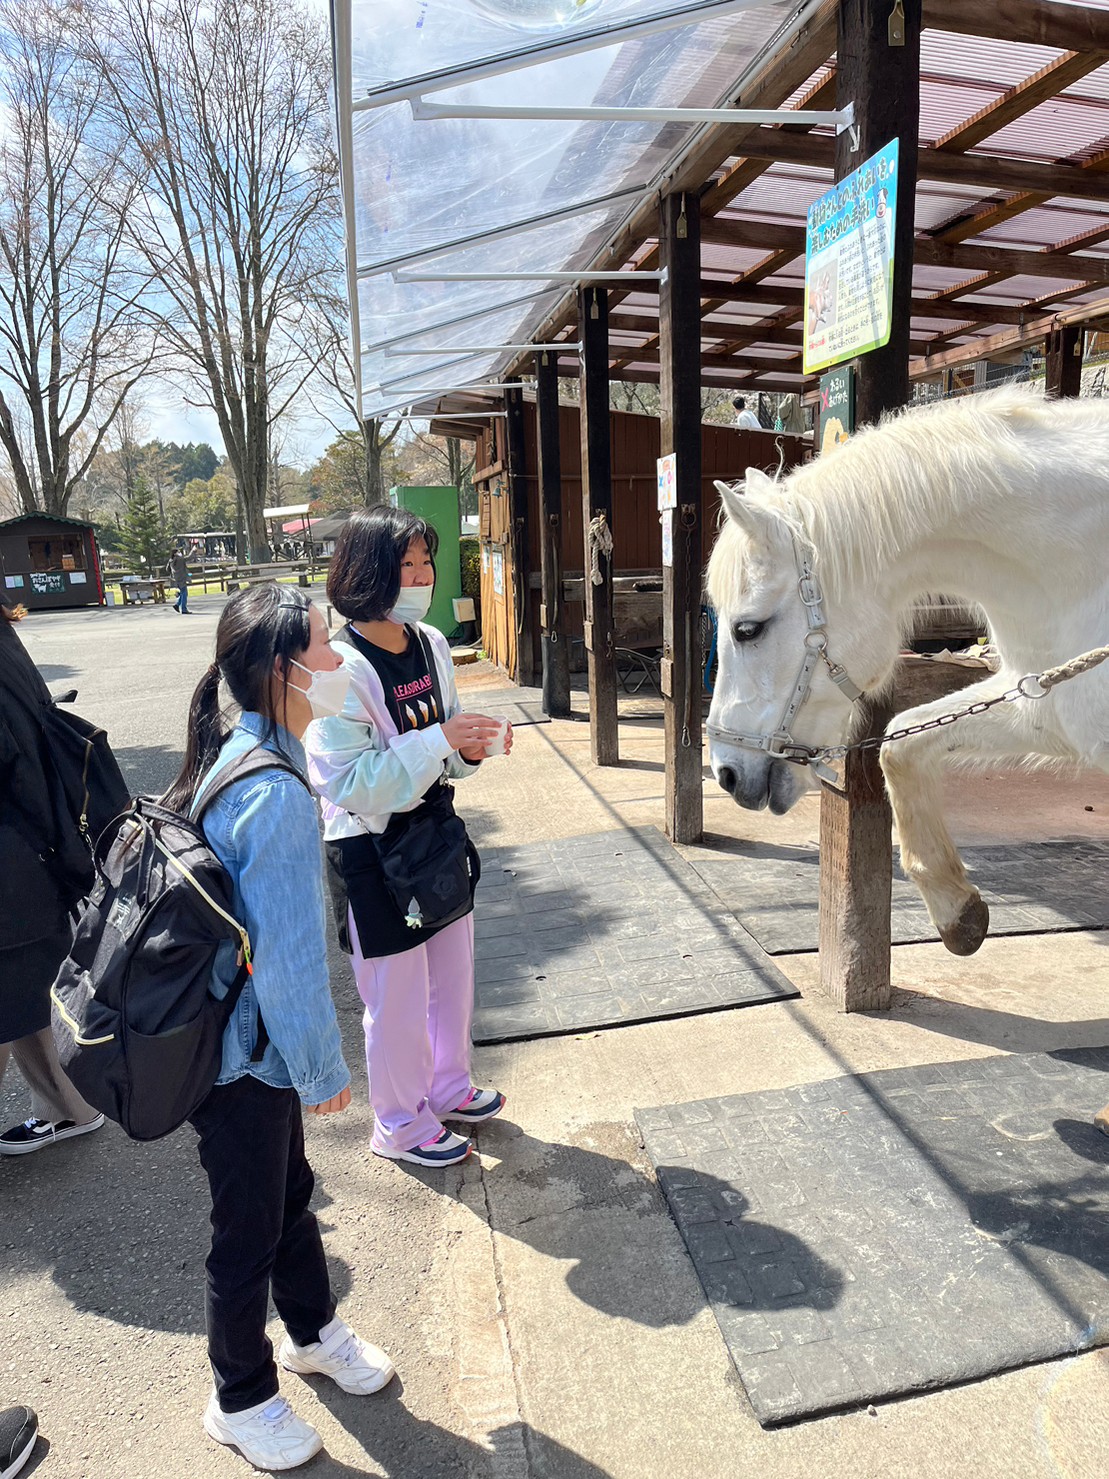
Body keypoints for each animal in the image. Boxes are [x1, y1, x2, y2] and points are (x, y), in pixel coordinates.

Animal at [705, 387, 1109, 958]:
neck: (1083, 570)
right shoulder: (1044, 701)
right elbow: (900, 743)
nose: (726, 773)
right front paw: (955, 907)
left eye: (747, 629)